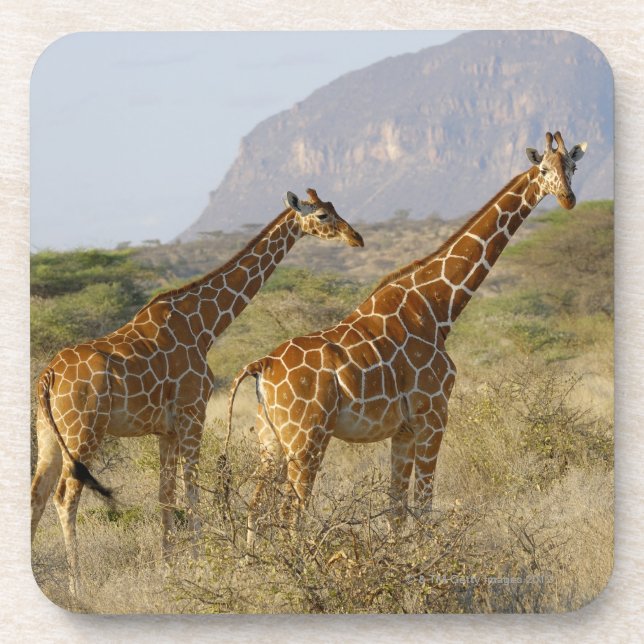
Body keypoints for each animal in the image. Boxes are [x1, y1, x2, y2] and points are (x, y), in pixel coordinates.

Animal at [31, 188, 364, 595]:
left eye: (333, 209)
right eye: (321, 215)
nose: (356, 238)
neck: (206, 326)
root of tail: (47, 376)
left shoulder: (166, 429)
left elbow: (165, 495)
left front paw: (168, 567)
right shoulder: (194, 414)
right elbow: (191, 490)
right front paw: (201, 562)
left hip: (49, 433)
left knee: (36, 495)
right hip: (83, 431)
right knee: (65, 495)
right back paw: (77, 586)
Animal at [226, 132, 587, 550]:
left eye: (572, 167)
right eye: (543, 169)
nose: (567, 199)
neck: (438, 306)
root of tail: (261, 366)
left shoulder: (403, 428)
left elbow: (396, 511)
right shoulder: (433, 414)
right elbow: (424, 504)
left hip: (270, 441)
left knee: (256, 507)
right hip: (306, 438)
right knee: (291, 512)